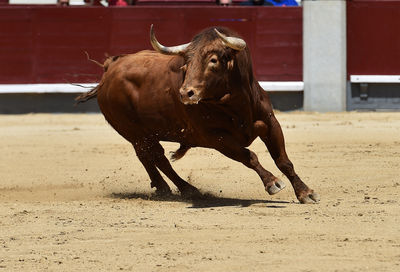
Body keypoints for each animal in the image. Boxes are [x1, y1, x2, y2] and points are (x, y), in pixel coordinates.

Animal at [77, 26, 318, 204]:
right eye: (186, 63)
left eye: (213, 60)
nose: (186, 93)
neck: (237, 104)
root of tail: (111, 68)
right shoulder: (217, 138)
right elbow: (249, 156)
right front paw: (272, 182)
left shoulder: (270, 124)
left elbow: (283, 160)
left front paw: (305, 192)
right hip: (135, 132)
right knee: (152, 156)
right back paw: (180, 188)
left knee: (153, 156)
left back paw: (174, 189)